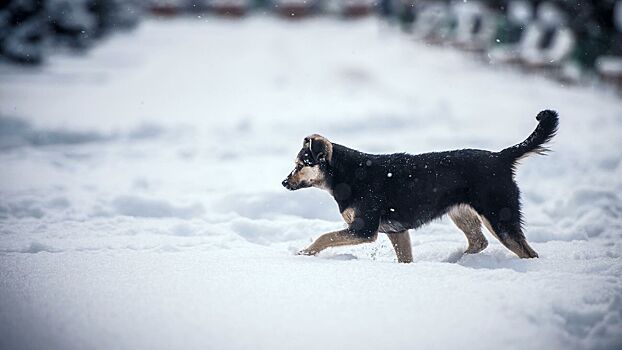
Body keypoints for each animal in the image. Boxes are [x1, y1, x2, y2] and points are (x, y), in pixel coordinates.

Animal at [282, 110, 560, 262]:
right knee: (479, 242)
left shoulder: (364, 229)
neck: (346, 174)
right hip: (462, 213)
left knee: (527, 252)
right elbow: (405, 259)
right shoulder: (397, 232)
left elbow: (324, 236)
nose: (284, 182)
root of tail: (501, 157)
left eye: (300, 164)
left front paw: (303, 254)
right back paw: (458, 261)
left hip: (499, 216)